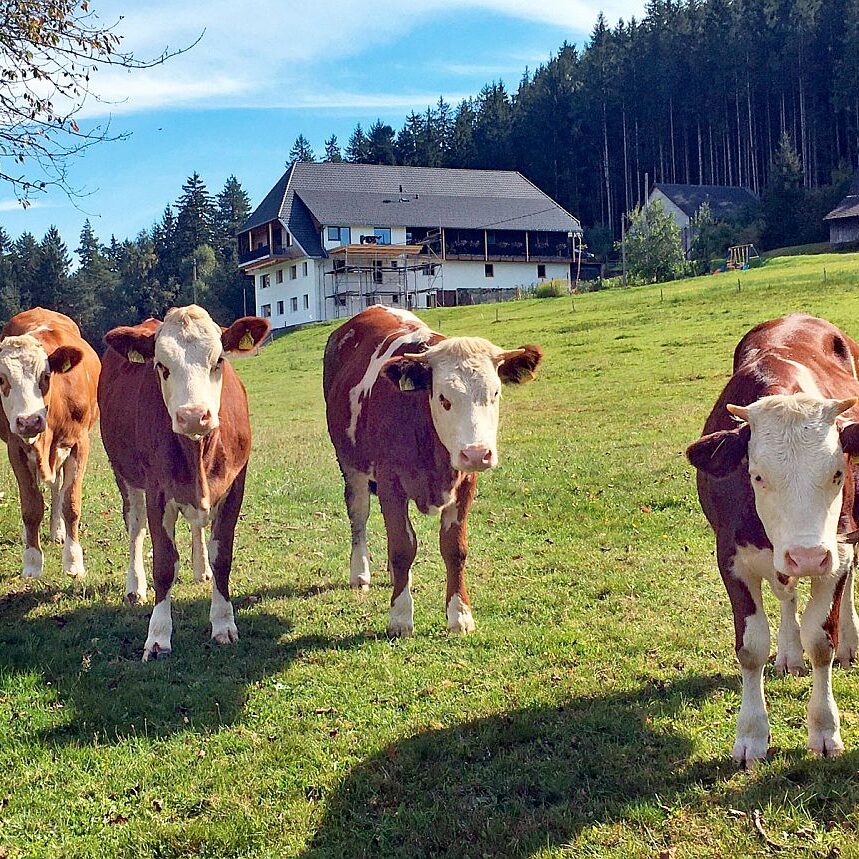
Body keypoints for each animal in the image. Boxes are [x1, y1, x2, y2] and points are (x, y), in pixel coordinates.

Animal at [0, 308, 100, 579]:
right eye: (1, 379)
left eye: (45, 376)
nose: (29, 421)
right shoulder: (15, 448)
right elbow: (31, 505)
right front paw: (33, 562)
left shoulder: (79, 444)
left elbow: (71, 503)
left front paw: (73, 561)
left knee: (58, 488)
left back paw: (58, 531)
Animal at [98, 305, 269, 661]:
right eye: (161, 366)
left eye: (218, 361)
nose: (192, 415)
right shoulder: (157, 491)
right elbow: (164, 563)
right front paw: (158, 635)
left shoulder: (235, 486)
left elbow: (222, 556)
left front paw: (223, 623)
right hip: (124, 473)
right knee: (135, 526)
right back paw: (134, 586)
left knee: (197, 527)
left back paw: (200, 568)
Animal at [323, 305, 542, 637]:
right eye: (443, 398)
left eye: (495, 393)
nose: (476, 453)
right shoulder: (389, 481)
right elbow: (403, 547)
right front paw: (400, 617)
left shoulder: (465, 481)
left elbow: (454, 548)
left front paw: (460, 614)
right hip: (351, 466)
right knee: (358, 515)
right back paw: (360, 572)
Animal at [686, 313, 859, 765]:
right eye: (758, 475)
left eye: (837, 473)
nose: (807, 557)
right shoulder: (730, 557)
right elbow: (751, 646)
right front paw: (751, 735)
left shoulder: (838, 547)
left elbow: (821, 640)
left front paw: (824, 730)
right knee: (785, 593)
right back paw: (788, 651)